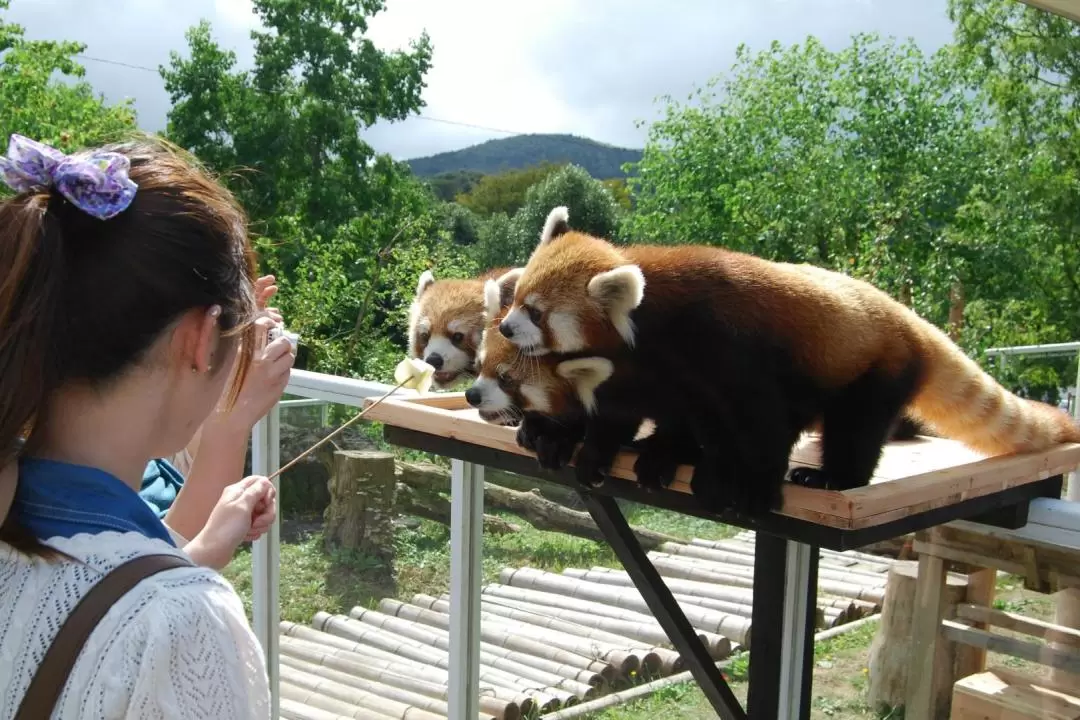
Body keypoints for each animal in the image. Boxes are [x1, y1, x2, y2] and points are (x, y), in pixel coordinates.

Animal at [470, 205, 1080, 515]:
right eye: (518, 298)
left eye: (537, 312)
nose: (507, 325)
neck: (655, 325)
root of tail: (912, 321)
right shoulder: (658, 378)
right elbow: (639, 414)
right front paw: (582, 444)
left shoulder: (726, 347)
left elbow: (757, 419)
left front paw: (745, 484)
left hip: (872, 369)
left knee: (856, 428)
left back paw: (830, 477)